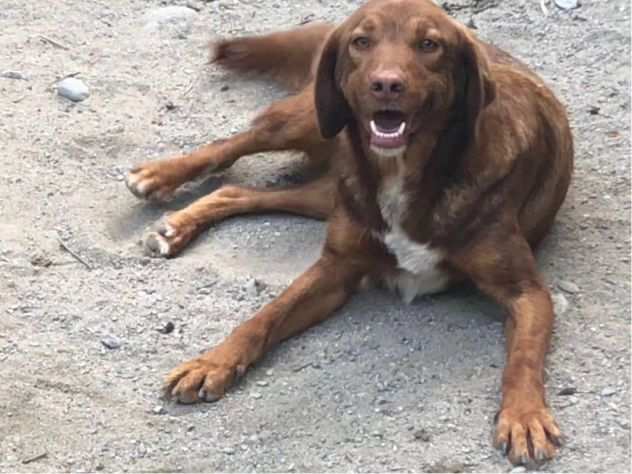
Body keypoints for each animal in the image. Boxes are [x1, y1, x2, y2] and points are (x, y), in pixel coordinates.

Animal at [124, 0, 572, 466]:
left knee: (239, 191)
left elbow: (523, 358)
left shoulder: (527, 292)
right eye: (362, 41)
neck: (404, 172)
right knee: (233, 144)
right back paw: (159, 178)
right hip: (307, 123)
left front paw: (524, 416)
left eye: (429, 45)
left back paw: (177, 224)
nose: (387, 84)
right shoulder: (334, 270)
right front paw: (211, 363)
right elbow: (265, 316)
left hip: (329, 192)